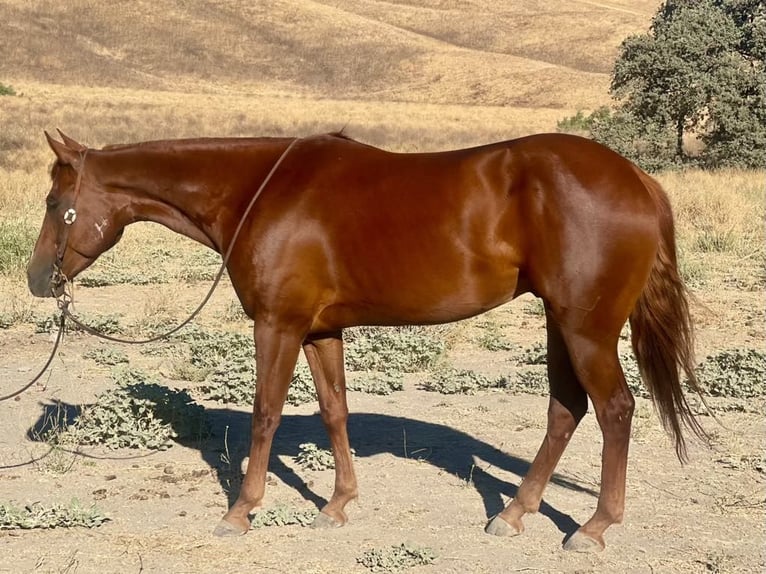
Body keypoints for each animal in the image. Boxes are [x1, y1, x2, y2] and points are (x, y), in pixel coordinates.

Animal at [27, 130, 706, 552]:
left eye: (56, 202)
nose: (36, 279)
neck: (260, 193)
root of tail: (637, 179)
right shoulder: (320, 330)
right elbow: (334, 411)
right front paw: (337, 505)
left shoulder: (277, 324)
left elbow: (265, 415)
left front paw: (240, 512)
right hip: (560, 323)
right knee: (566, 411)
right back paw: (514, 513)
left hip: (585, 328)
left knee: (614, 410)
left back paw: (593, 527)